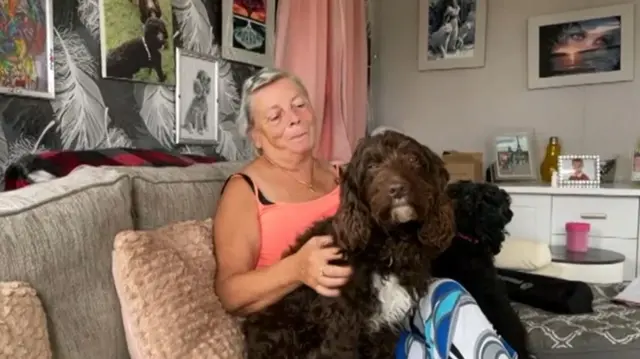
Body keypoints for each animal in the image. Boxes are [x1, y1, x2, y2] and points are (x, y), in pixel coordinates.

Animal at [241, 131, 456, 359]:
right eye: (371, 166)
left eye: (413, 158)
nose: (398, 188)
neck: (390, 245)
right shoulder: (342, 323)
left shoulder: (386, 328)